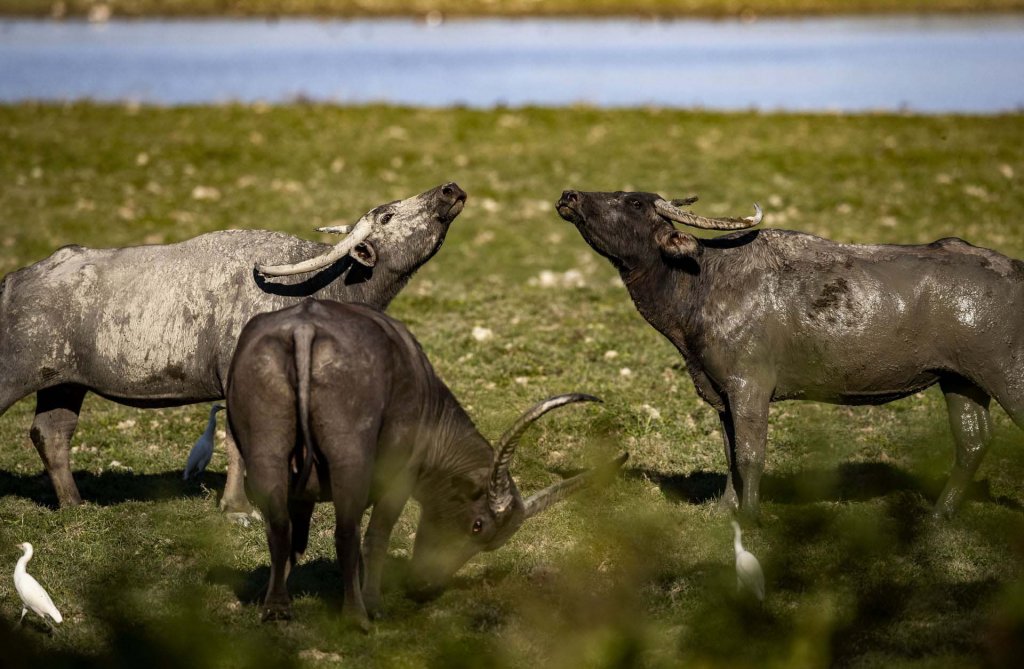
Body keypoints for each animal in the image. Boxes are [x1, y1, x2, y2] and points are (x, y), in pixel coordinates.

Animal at [2, 182, 466, 512]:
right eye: (388, 214)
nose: (450, 188)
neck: (319, 286)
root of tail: (16, 280)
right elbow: (239, 445)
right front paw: (238, 506)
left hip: (63, 384)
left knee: (51, 433)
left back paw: (74, 504)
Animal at [226, 297, 622, 626]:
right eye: (478, 526)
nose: (425, 587)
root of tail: (304, 327)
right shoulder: (401, 477)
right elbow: (376, 538)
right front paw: (375, 603)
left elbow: (295, 539)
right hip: (350, 459)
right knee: (347, 532)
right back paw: (357, 616)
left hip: (266, 450)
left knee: (279, 526)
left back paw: (277, 608)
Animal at [561, 187, 1024, 516]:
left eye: (635, 201)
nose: (570, 196)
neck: (702, 283)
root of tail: (1016, 270)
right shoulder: (720, 392)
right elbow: (729, 453)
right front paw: (725, 511)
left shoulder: (750, 385)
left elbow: (750, 456)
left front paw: (750, 516)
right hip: (960, 381)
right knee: (973, 441)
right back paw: (938, 515)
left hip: (1005, 374)